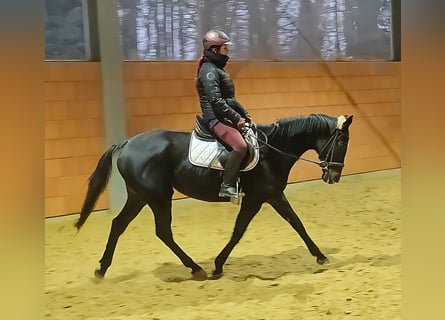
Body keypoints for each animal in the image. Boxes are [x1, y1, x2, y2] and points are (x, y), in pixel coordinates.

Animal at [77, 114, 354, 278]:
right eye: (342, 143)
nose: (334, 176)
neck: (271, 151)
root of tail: (127, 144)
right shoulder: (259, 197)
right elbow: (240, 231)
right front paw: (218, 265)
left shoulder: (272, 195)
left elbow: (295, 223)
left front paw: (320, 255)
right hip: (158, 197)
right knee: (162, 232)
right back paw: (195, 268)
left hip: (139, 196)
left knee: (119, 224)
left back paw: (102, 268)